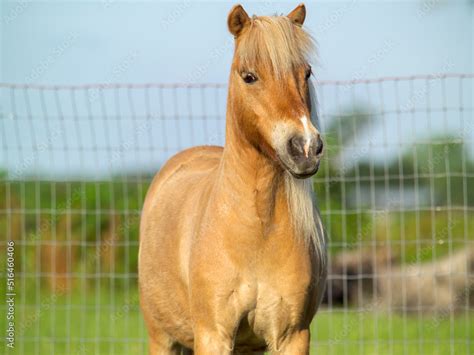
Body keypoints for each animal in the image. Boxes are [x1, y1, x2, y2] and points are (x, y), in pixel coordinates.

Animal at [139, 3, 328, 355]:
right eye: (249, 77)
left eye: (306, 72)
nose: (306, 147)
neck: (256, 230)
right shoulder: (214, 334)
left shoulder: (292, 336)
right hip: (162, 337)